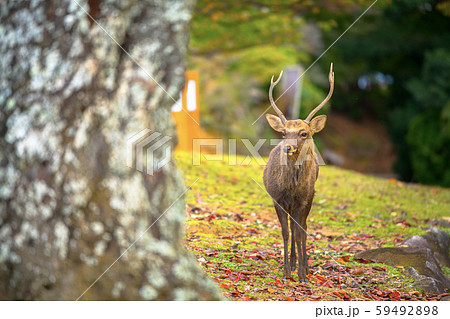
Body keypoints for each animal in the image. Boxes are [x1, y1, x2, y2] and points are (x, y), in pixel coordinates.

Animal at [264, 63, 334, 282]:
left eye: (304, 133)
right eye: (283, 132)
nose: (287, 147)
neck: (290, 188)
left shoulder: (302, 200)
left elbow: (299, 231)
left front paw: (303, 274)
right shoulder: (277, 199)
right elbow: (285, 233)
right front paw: (286, 271)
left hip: (310, 197)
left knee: (303, 228)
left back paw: (304, 266)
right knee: (294, 229)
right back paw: (295, 264)